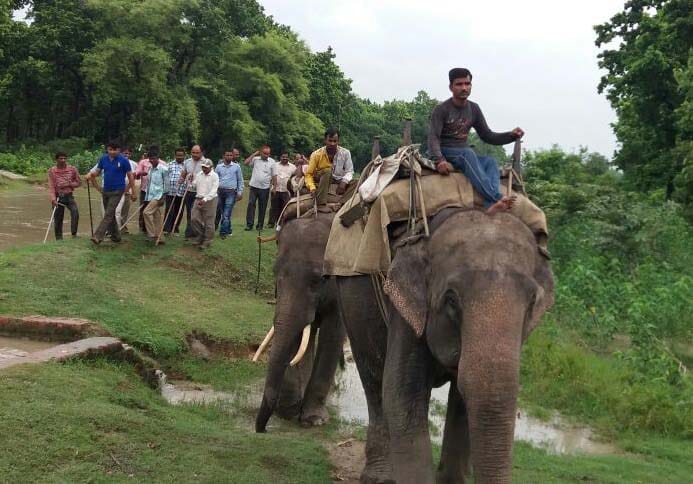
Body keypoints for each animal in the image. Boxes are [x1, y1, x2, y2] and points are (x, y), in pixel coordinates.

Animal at [255, 211, 346, 432]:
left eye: (320, 279)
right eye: (274, 273)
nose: (262, 430)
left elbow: (332, 332)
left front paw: (313, 420)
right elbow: (303, 336)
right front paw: (289, 410)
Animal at [335, 208, 554, 483]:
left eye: (533, 302)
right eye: (451, 300)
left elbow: (463, 399)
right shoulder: (406, 311)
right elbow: (402, 395)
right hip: (353, 301)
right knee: (373, 376)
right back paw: (379, 476)